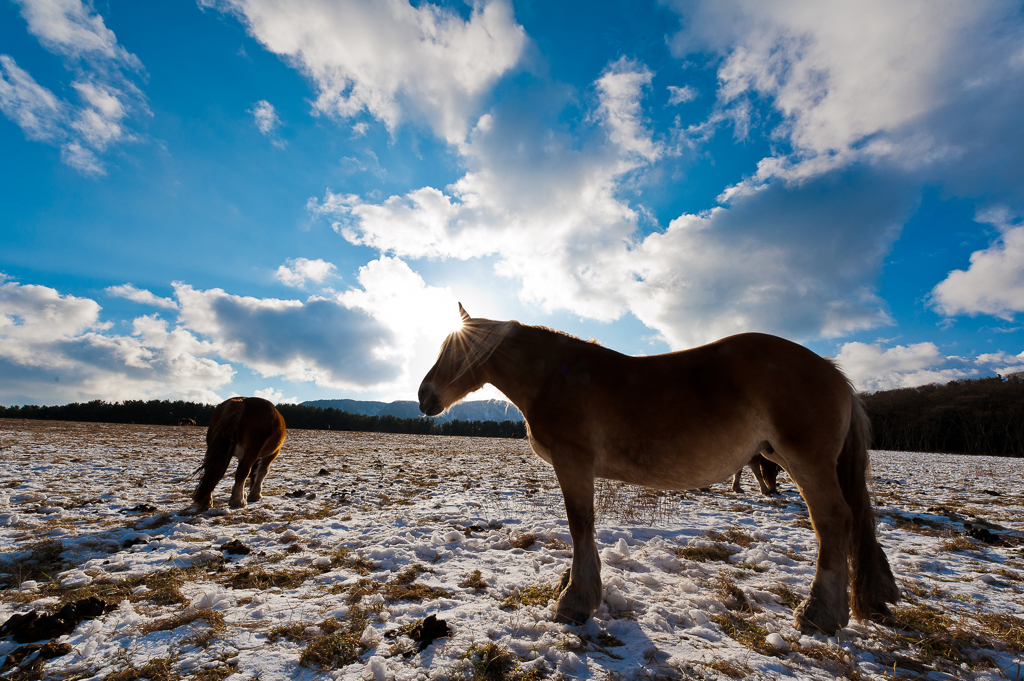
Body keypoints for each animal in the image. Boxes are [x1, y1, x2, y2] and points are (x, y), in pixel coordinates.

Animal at [415, 305, 897, 634]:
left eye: (456, 352)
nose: (424, 396)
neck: (557, 377)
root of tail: (833, 373)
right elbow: (583, 527)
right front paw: (574, 586)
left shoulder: (574, 463)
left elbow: (580, 524)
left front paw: (575, 600)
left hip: (806, 462)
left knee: (833, 521)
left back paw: (819, 614)